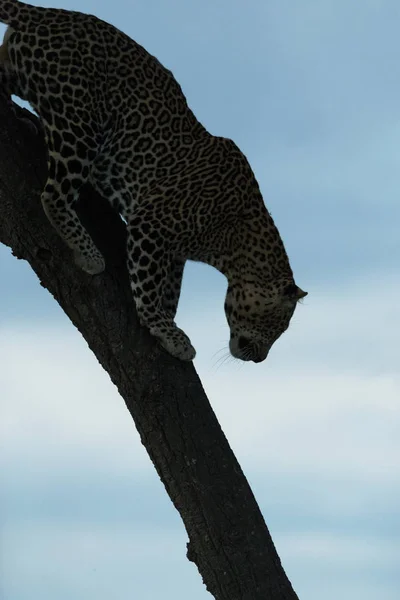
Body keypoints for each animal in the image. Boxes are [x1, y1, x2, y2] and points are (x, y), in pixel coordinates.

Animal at [0, 0, 310, 360]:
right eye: (277, 325)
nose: (260, 359)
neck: (236, 242)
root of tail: (48, 13)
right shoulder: (150, 225)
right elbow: (148, 287)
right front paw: (164, 329)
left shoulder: (174, 253)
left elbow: (170, 290)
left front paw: (170, 322)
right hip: (79, 123)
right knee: (53, 195)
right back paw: (88, 253)